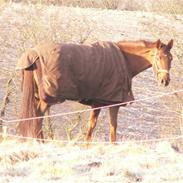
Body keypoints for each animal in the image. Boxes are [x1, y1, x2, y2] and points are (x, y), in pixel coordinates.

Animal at [16, 39, 173, 142]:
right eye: (158, 57)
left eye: (170, 58)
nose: (165, 81)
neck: (124, 58)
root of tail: (33, 54)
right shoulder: (112, 103)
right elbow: (112, 128)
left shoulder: (97, 103)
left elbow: (91, 126)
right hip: (47, 98)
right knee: (37, 116)